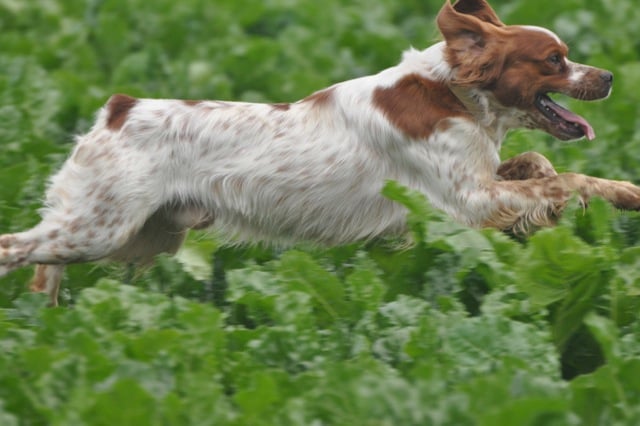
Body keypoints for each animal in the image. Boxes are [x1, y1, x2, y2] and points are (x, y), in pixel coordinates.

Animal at [1, 0, 640, 306]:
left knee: (43, 269)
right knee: (17, 249)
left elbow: (542, 168)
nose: (610, 77)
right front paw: (618, 193)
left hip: (139, 234)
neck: (455, 94)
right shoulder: (468, 201)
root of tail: (118, 108)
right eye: (554, 59)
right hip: (100, 227)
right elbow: (564, 178)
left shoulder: (481, 183)